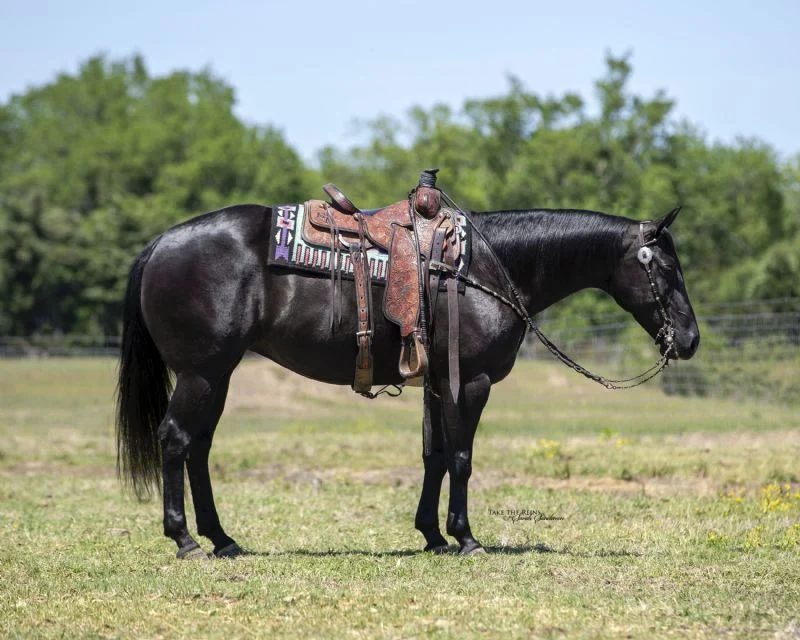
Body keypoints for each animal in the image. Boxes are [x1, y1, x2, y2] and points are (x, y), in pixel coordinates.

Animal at [116, 202, 699, 558]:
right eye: (666, 269)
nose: (690, 339)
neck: (483, 270)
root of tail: (162, 242)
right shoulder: (471, 382)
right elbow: (461, 458)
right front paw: (465, 538)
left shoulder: (439, 382)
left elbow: (434, 456)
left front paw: (433, 535)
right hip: (201, 373)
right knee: (176, 440)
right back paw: (185, 539)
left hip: (217, 375)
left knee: (198, 447)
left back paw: (222, 539)